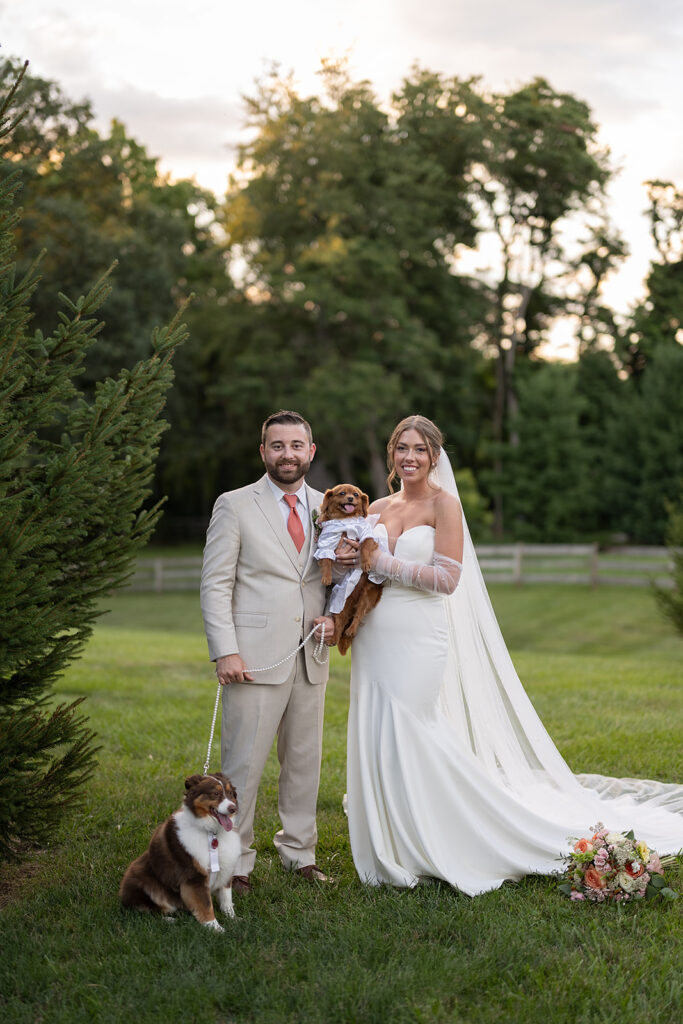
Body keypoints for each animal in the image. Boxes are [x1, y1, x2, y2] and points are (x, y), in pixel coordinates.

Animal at [120, 770, 240, 933]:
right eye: (215, 793)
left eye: (230, 793)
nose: (233, 808)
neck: (211, 832)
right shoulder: (194, 877)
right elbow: (205, 905)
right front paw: (215, 928)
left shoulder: (226, 868)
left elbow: (227, 898)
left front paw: (234, 919)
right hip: (140, 878)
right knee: (144, 911)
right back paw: (170, 920)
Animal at [315, 481, 385, 655]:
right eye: (342, 493)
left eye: (356, 495)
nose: (350, 499)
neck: (345, 520)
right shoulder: (327, 541)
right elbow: (326, 560)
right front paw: (326, 577)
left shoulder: (367, 535)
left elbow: (365, 547)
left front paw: (365, 563)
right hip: (341, 603)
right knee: (340, 622)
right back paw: (333, 638)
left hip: (367, 596)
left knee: (358, 615)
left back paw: (351, 630)